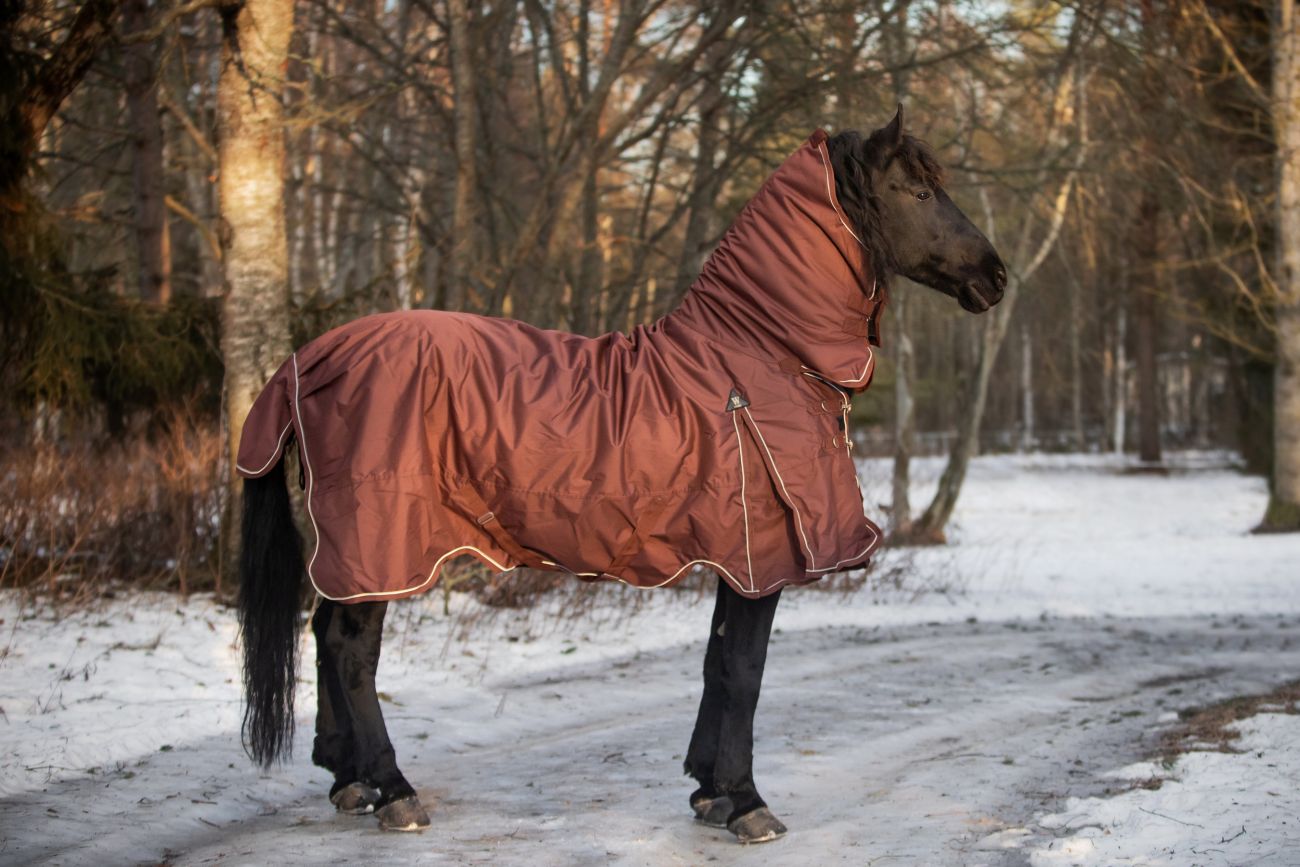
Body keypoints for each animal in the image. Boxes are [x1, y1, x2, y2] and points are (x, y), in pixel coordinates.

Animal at [235, 106, 1006, 844]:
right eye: (919, 191)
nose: (995, 275)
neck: (758, 356)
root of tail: (308, 359)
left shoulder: (734, 558)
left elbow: (717, 662)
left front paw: (709, 790)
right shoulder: (761, 560)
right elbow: (744, 670)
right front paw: (747, 802)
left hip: (357, 553)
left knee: (323, 630)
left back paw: (349, 779)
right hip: (384, 545)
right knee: (350, 648)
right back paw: (394, 790)